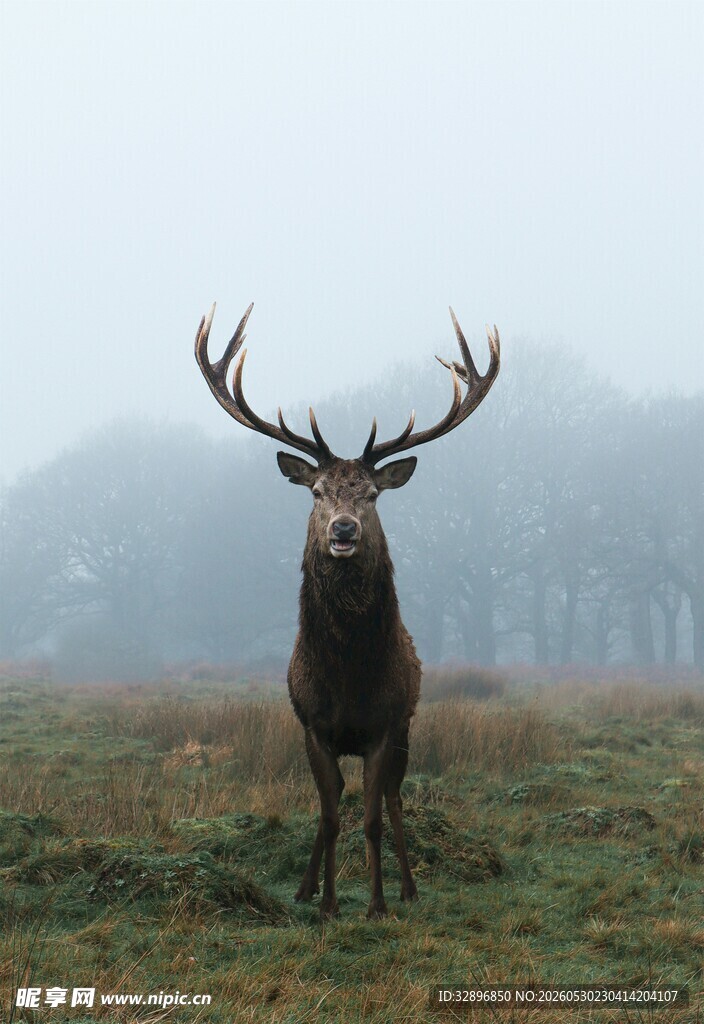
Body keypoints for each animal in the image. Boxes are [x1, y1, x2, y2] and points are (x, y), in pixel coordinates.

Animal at [195, 301, 500, 919]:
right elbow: (332, 814)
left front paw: (378, 902)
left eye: (372, 495)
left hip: (407, 728)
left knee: (395, 799)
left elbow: (374, 818)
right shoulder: (313, 726)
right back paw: (306, 887)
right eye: (316, 493)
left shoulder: (385, 725)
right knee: (331, 803)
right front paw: (329, 904)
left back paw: (407, 887)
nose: (342, 530)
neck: (349, 676)